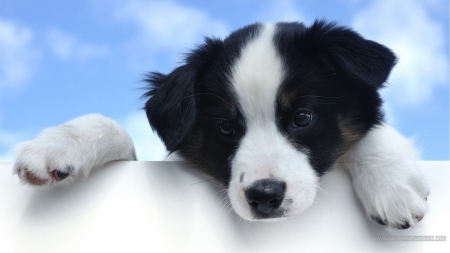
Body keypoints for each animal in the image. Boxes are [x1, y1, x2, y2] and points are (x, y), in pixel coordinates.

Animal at [13, 20, 428, 231]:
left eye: (302, 117)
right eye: (226, 128)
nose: (264, 197)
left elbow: (371, 133)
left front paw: (392, 186)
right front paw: (60, 143)